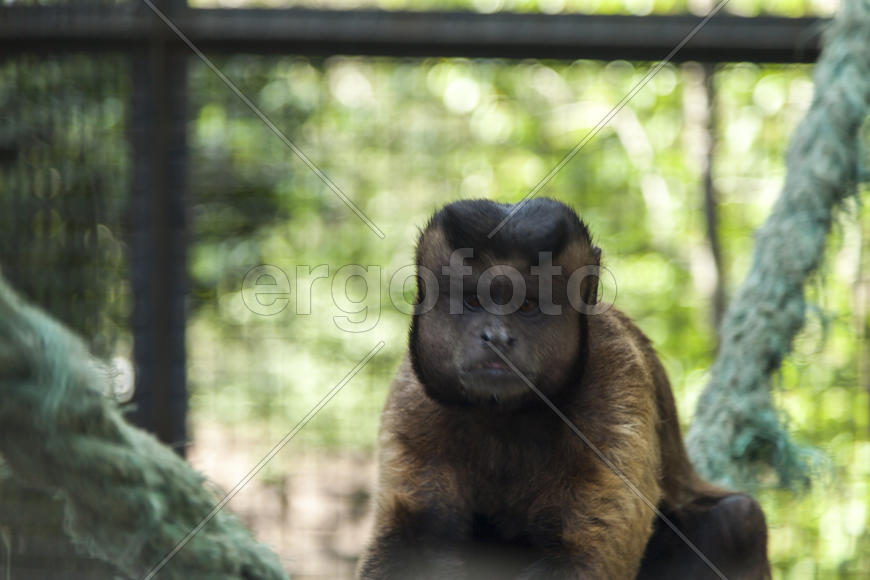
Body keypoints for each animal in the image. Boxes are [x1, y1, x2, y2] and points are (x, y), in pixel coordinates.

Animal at [357, 198, 770, 580]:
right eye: (473, 300)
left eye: (526, 306)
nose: (496, 337)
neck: (507, 416)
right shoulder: (413, 401)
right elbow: (415, 540)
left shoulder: (616, 381)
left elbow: (585, 553)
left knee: (738, 521)